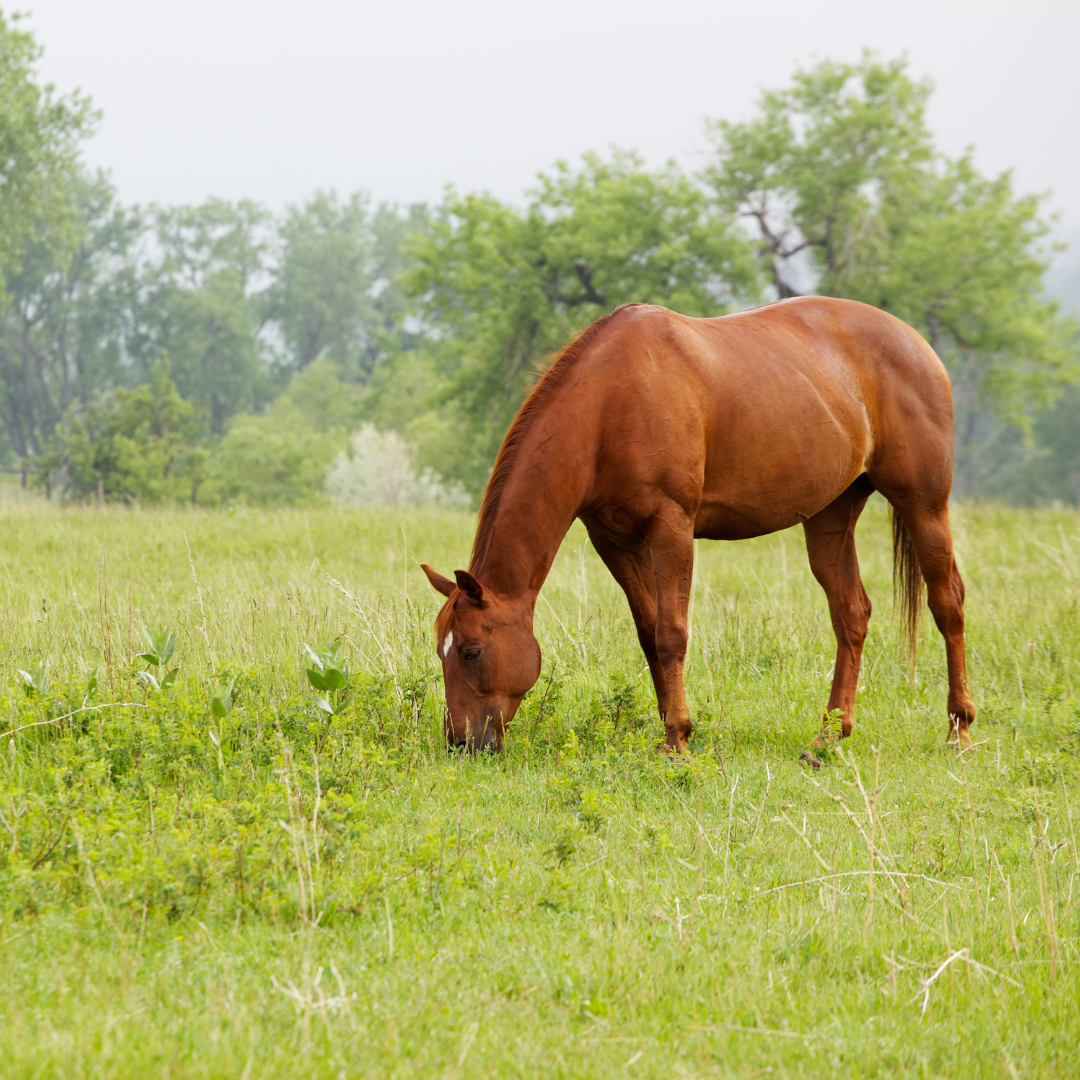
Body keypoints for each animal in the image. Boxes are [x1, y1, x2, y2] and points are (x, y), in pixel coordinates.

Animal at [421, 297, 974, 753]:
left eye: (470, 651)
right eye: (441, 649)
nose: (460, 742)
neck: (611, 401)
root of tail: (916, 343)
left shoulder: (672, 528)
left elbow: (671, 633)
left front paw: (678, 739)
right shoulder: (613, 541)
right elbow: (648, 634)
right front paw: (674, 727)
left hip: (923, 505)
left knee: (947, 603)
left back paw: (959, 728)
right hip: (830, 516)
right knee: (851, 615)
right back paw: (827, 735)